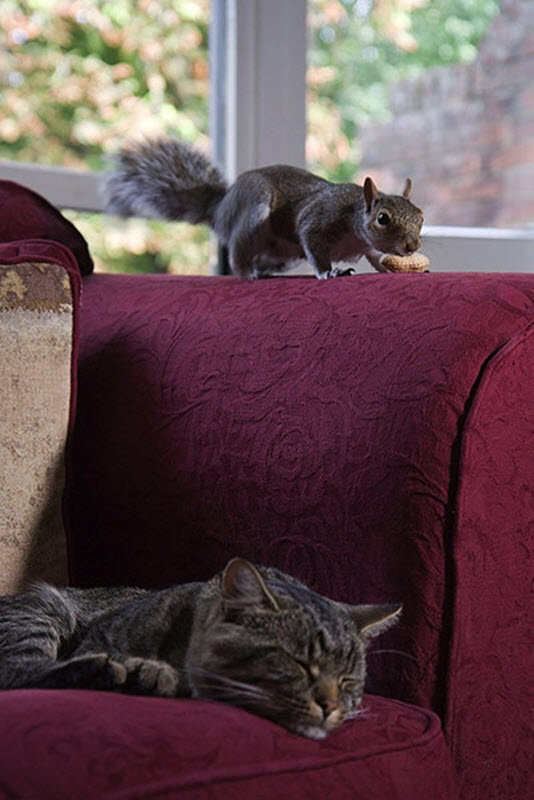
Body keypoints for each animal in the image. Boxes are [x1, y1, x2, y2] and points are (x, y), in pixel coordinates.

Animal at [105, 137, 425, 279]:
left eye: (420, 217)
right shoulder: (317, 220)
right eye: (382, 218)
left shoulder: (368, 247)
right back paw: (248, 273)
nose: (412, 245)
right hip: (254, 209)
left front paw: (393, 270)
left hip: (286, 255)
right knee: (237, 253)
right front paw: (329, 273)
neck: (353, 218)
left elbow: (376, 258)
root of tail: (221, 207)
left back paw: (265, 271)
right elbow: (315, 247)